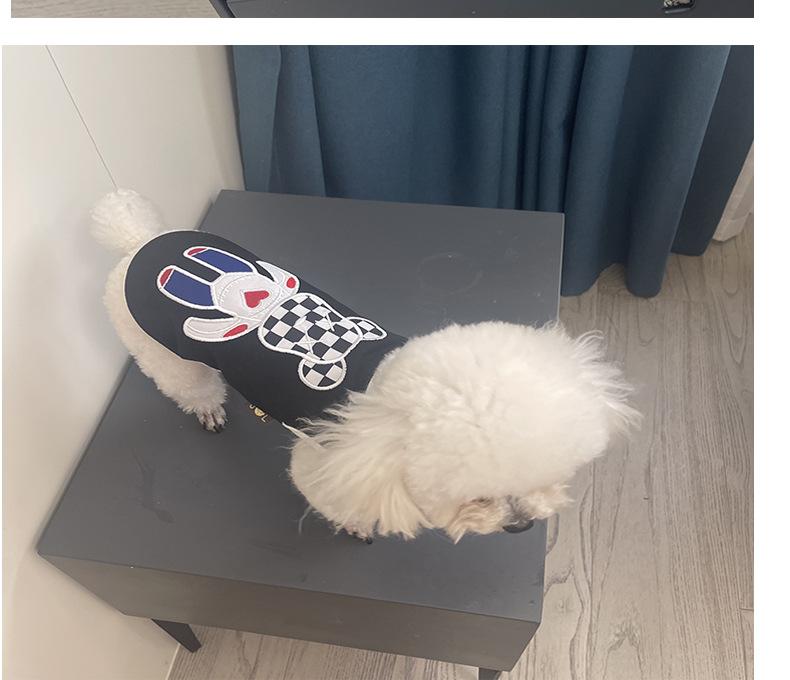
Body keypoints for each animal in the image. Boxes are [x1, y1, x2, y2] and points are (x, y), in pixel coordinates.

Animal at [93, 189, 640, 543]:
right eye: (477, 497)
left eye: (547, 480)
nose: (522, 524)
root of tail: (139, 243)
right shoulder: (326, 463)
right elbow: (336, 500)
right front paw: (356, 525)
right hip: (162, 351)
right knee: (190, 385)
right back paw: (207, 408)